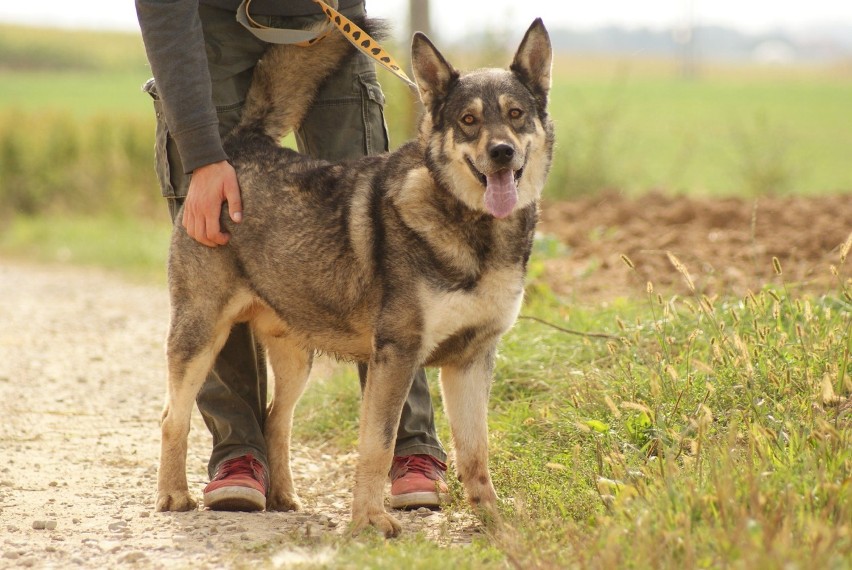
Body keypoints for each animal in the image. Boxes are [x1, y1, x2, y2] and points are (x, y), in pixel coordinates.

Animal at [156, 15, 556, 536]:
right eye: (468, 121)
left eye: (515, 114)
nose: (503, 152)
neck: (475, 228)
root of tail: (243, 149)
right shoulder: (397, 356)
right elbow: (376, 446)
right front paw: (369, 519)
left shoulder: (471, 361)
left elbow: (475, 453)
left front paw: (495, 522)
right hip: (202, 334)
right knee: (173, 416)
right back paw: (174, 494)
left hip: (296, 357)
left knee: (275, 420)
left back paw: (283, 496)